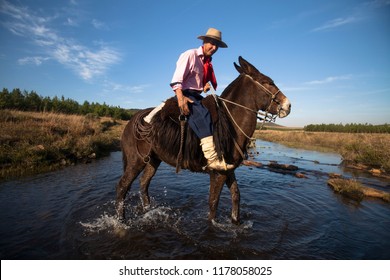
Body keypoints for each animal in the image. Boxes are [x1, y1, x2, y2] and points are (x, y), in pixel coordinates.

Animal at [116, 55, 290, 224]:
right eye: (268, 82)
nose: (287, 106)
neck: (230, 122)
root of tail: (133, 121)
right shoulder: (218, 173)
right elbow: (213, 204)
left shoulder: (229, 170)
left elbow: (236, 196)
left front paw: (235, 221)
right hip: (136, 161)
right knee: (122, 186)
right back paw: (121, 221)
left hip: (153, 159)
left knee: (144, 184)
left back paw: (148, 211)